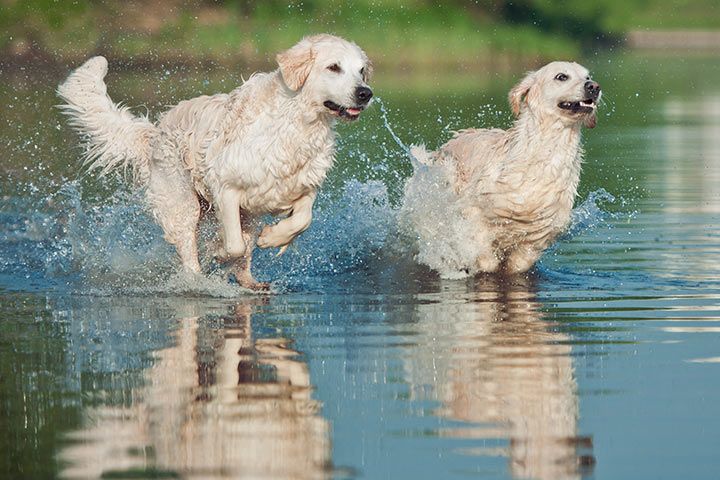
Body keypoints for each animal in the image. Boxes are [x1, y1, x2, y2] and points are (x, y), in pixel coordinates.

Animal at [57, 35, 372, 288]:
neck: (298, 124)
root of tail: (154, 131)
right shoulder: (225, 187)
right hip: (183, 204)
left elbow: (303, 220)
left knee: (245, 252)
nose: (365, 93)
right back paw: (197, 278)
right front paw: (217, 250)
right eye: (334, 67)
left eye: (361, 71)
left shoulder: (302, 186)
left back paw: (252, 283)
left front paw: (273, 238)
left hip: (247, 216)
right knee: (191, 251)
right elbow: (233, 244)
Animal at [404, 62, 600, 278]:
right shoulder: (472, 212)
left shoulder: (539, 233)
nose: (594, 86)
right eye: (561, 76)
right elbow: (485, 257)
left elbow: (518, 265)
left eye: (587, 76)